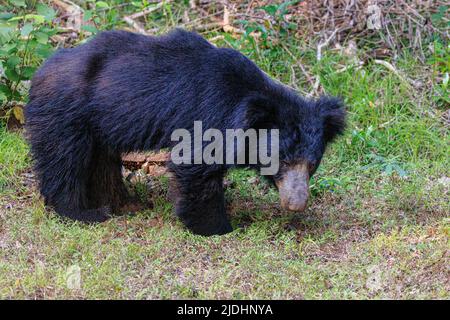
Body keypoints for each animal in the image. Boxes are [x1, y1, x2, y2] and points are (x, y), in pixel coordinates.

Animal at [26, 28, 346, 236]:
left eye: (312, 164)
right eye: (283, 160)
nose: (296, 204)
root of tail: (40, 71)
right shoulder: (208, 115)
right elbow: (196, 165)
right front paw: (219, 228)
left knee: (101, 164)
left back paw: (121, 203)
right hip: (66, 114)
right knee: (65, 161)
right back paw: (84, 213)